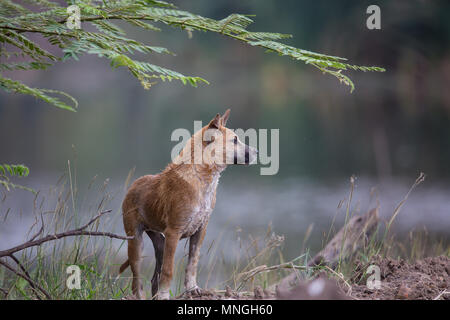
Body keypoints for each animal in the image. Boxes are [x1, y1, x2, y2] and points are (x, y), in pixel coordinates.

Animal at [118, 110, 258, 300]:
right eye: (234, 140)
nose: (257, 151)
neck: (202, 179)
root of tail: (132, 187)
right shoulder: (174, 233)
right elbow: (169, 270)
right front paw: (165, 295)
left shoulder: (200, 230)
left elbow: (192, 263)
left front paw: (192, 289)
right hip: (136, 242)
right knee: (137, 281)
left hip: (159, 242)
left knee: (154, 278)